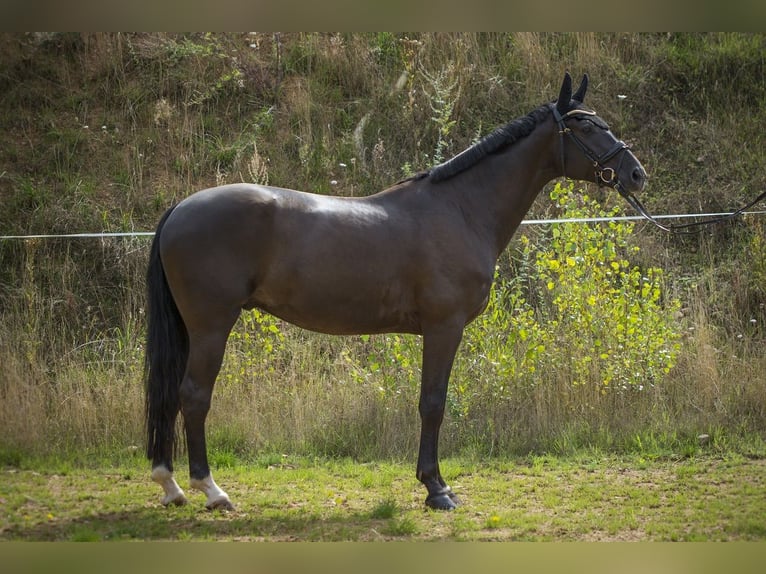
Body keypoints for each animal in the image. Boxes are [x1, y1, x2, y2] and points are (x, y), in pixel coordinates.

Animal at [144, 72, 647, 511]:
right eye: (585, 124)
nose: (636, 174)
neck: (461, 209)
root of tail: (180, 209)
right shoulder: (444, 328)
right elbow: (433, 403)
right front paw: (436, 489)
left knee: (171, 395)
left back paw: (172, 487)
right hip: (212, 325)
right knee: (194, 396)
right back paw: (212, 491)